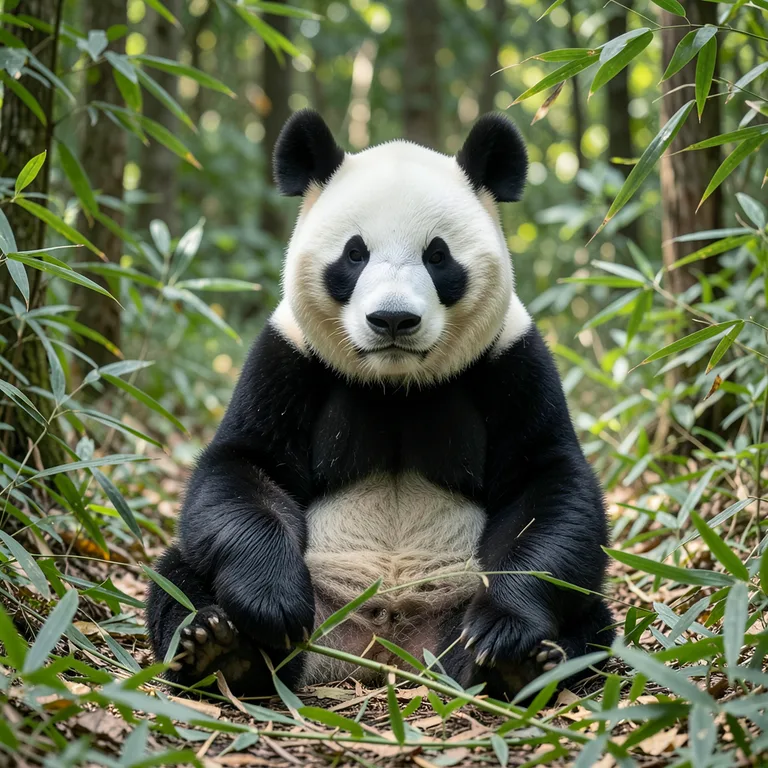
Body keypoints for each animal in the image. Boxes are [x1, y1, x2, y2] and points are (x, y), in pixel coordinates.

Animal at [147, 109, 615, 699]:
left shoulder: (512, 360)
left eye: (437, 255)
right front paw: (270, 603)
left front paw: (504, 632)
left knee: (591, 621)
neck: (395, 383)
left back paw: (516, 667)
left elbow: (547, 488)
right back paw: (224, 650)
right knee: (176, 579)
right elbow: (242, 469)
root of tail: (383, 645)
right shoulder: (287, 356)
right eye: (355, 253)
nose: (393, 319)